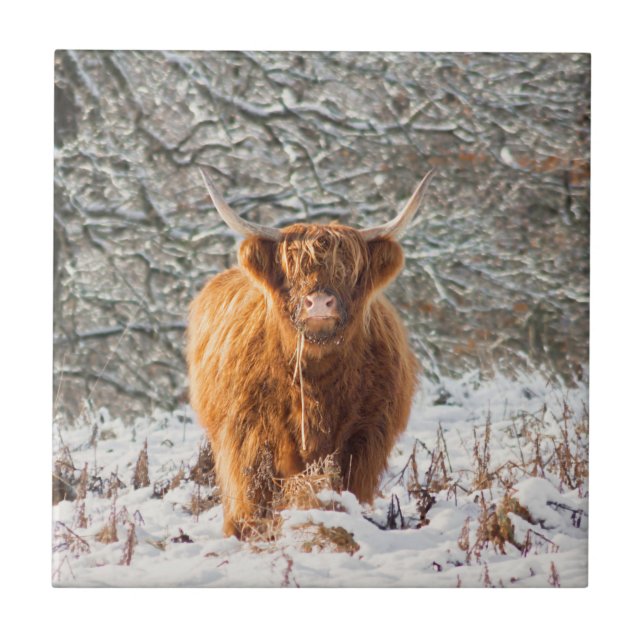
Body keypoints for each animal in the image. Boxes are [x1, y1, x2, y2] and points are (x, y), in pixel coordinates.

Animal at [187, 166, 434, 538]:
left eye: (348, 270)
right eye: (293, 269)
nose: (319, 303)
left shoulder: (365, 434)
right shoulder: (248, 430)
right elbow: (254, 490)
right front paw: (249, 530)